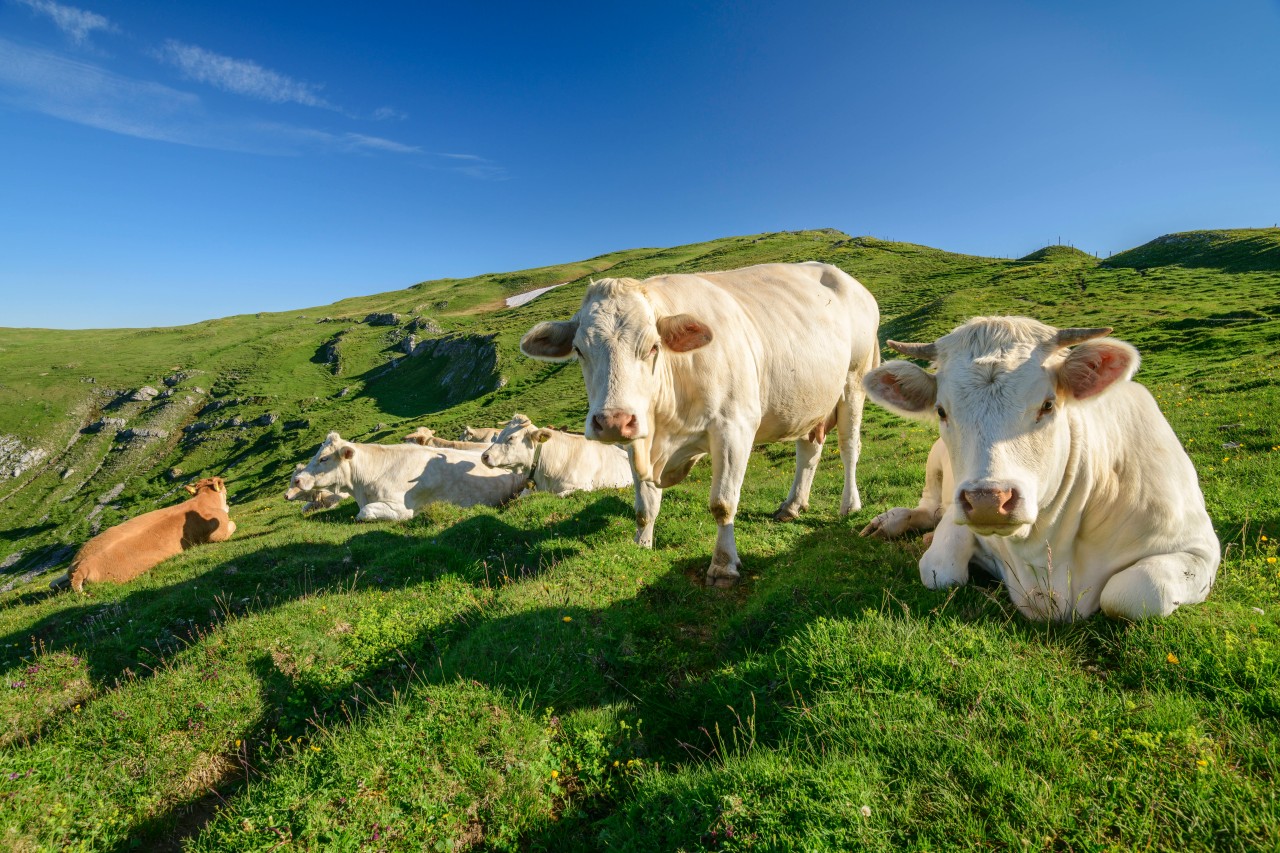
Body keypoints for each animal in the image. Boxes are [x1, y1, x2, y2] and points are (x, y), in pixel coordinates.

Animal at [519, 258, 880, 584]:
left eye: (653, 347)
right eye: (580, 351)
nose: (612, 421)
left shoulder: (735, 428)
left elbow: (722, 503)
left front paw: (723, 565)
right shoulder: (640, 435)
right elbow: (644, 505)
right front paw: (642, 545)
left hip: (854, 382)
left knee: (849, 447)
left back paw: (850, 505)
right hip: (809, 400)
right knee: (809, 450)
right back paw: (792, 506)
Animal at [860, 313, 1218, 617]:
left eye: (1048, 404)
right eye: (941, 411)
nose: (988, 501)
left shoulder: (1198, 547)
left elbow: (1136, 591)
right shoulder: (958, 521)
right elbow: (939, 569)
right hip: (934, 464)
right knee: (928, 507)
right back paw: (889, 521)